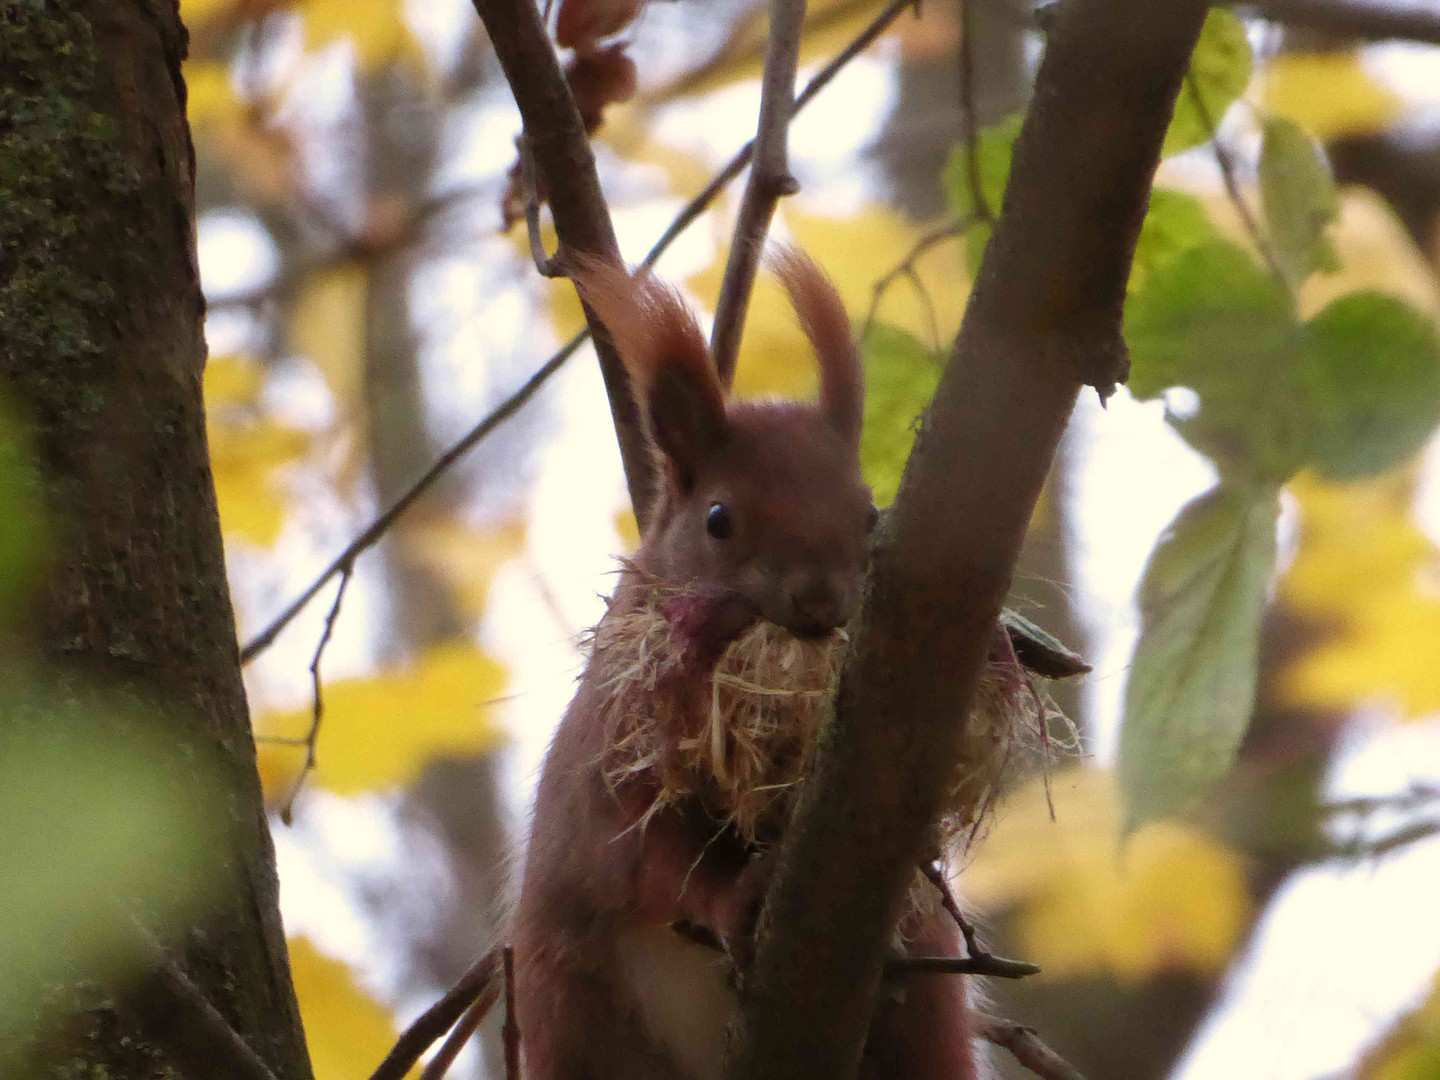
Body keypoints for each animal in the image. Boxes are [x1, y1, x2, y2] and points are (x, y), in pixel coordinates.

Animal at [509, 252, 979, 1080]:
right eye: (718, 520)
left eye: (871, 515)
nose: (821, 598)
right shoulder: (610, 777)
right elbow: (655, 863)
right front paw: (736, 896)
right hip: (573, 1019)